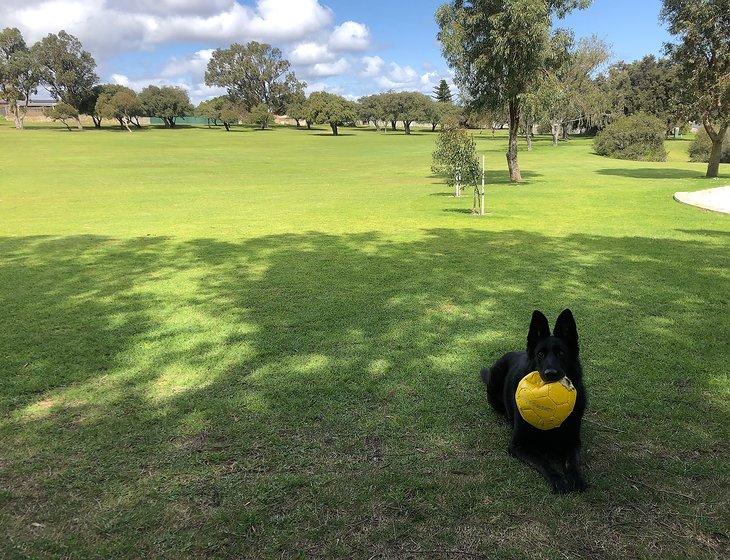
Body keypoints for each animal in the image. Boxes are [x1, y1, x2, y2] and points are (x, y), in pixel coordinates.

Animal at [480, 308, 588, 492]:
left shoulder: (573, 441)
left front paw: (575, 478)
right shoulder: (518, 445)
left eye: (561, 354)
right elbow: (542, 461)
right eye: (540, 354)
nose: (551, 374)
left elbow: (572, 461)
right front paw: (557, 479)